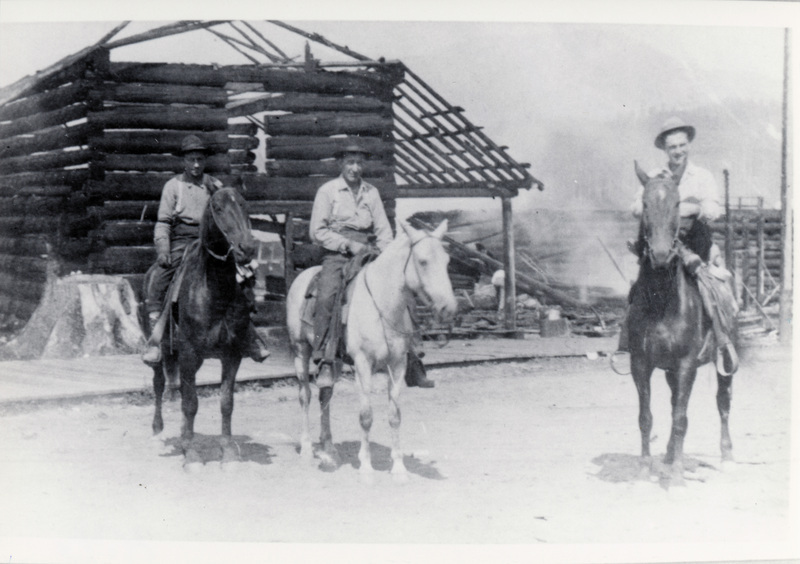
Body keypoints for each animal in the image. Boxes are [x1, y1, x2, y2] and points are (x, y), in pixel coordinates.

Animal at [145, 187, 256, 470]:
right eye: (217, 207)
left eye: (244, 204)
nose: (247, 248)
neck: (214, 291)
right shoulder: (188, 353)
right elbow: (191, 403)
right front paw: (192, 456)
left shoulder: (232, 355)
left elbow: (226, 403)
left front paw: (227, 453)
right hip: (164, 352)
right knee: (160, 384)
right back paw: (158, 432)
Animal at [286, 218, 456, 482]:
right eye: (423, 261)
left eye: (447, 261)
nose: (449, 308)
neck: (382, 306)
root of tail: (303, 275)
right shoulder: (363, 365)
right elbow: (366, 416)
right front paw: (366, 467)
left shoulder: (397, 365)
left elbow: (395, 416)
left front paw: (399, 468)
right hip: (300, 351)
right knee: (305, 395)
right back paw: (306, 448)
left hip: (334, 360)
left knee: (325, 395)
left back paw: (329, 450)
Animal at [628, 162, 736, 484]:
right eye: (645, 204)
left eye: (678, 204)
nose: (662, 255)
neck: (661, 302)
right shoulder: (640, 364)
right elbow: (646, 417)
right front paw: (645, 467)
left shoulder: (687, 365)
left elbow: (680, 418)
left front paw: (676, 473)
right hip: (670, 371)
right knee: (675, 400)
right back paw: (667, 455)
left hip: (725, 363)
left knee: (723, 403)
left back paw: (727, 456)